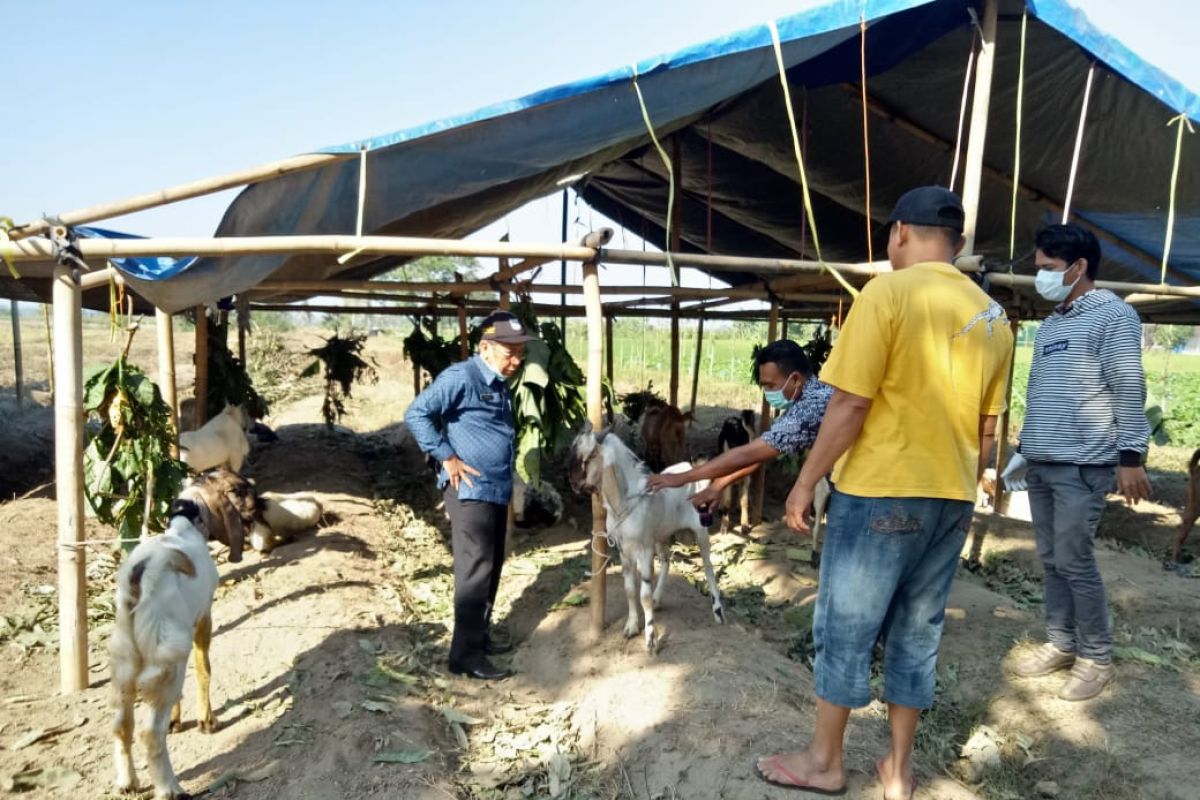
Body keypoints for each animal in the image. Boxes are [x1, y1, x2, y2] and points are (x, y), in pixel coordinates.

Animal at [111, 496, 219, 796]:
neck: (181, 528)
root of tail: (141, 572)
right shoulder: (203, 616)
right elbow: (204, 668)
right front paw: (207, 721)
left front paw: (176, 719)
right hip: (171, 657)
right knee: (149, 733)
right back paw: (170, 789)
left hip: (126, 663)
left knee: (122, 726)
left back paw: (128, 781)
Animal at [568, 422, 724, 652]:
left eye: (590, 455)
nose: (573, 483)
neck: (624, 504)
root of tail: (692, 471)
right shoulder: (624, 550)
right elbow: (630, 589)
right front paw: (632, 626)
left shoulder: (643, 549)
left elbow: (644, 595)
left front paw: (651, 639)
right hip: (661, 536)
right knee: (667, 559)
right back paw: (659, 600)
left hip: (700, 532)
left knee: (708, 567)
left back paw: (718, 611)